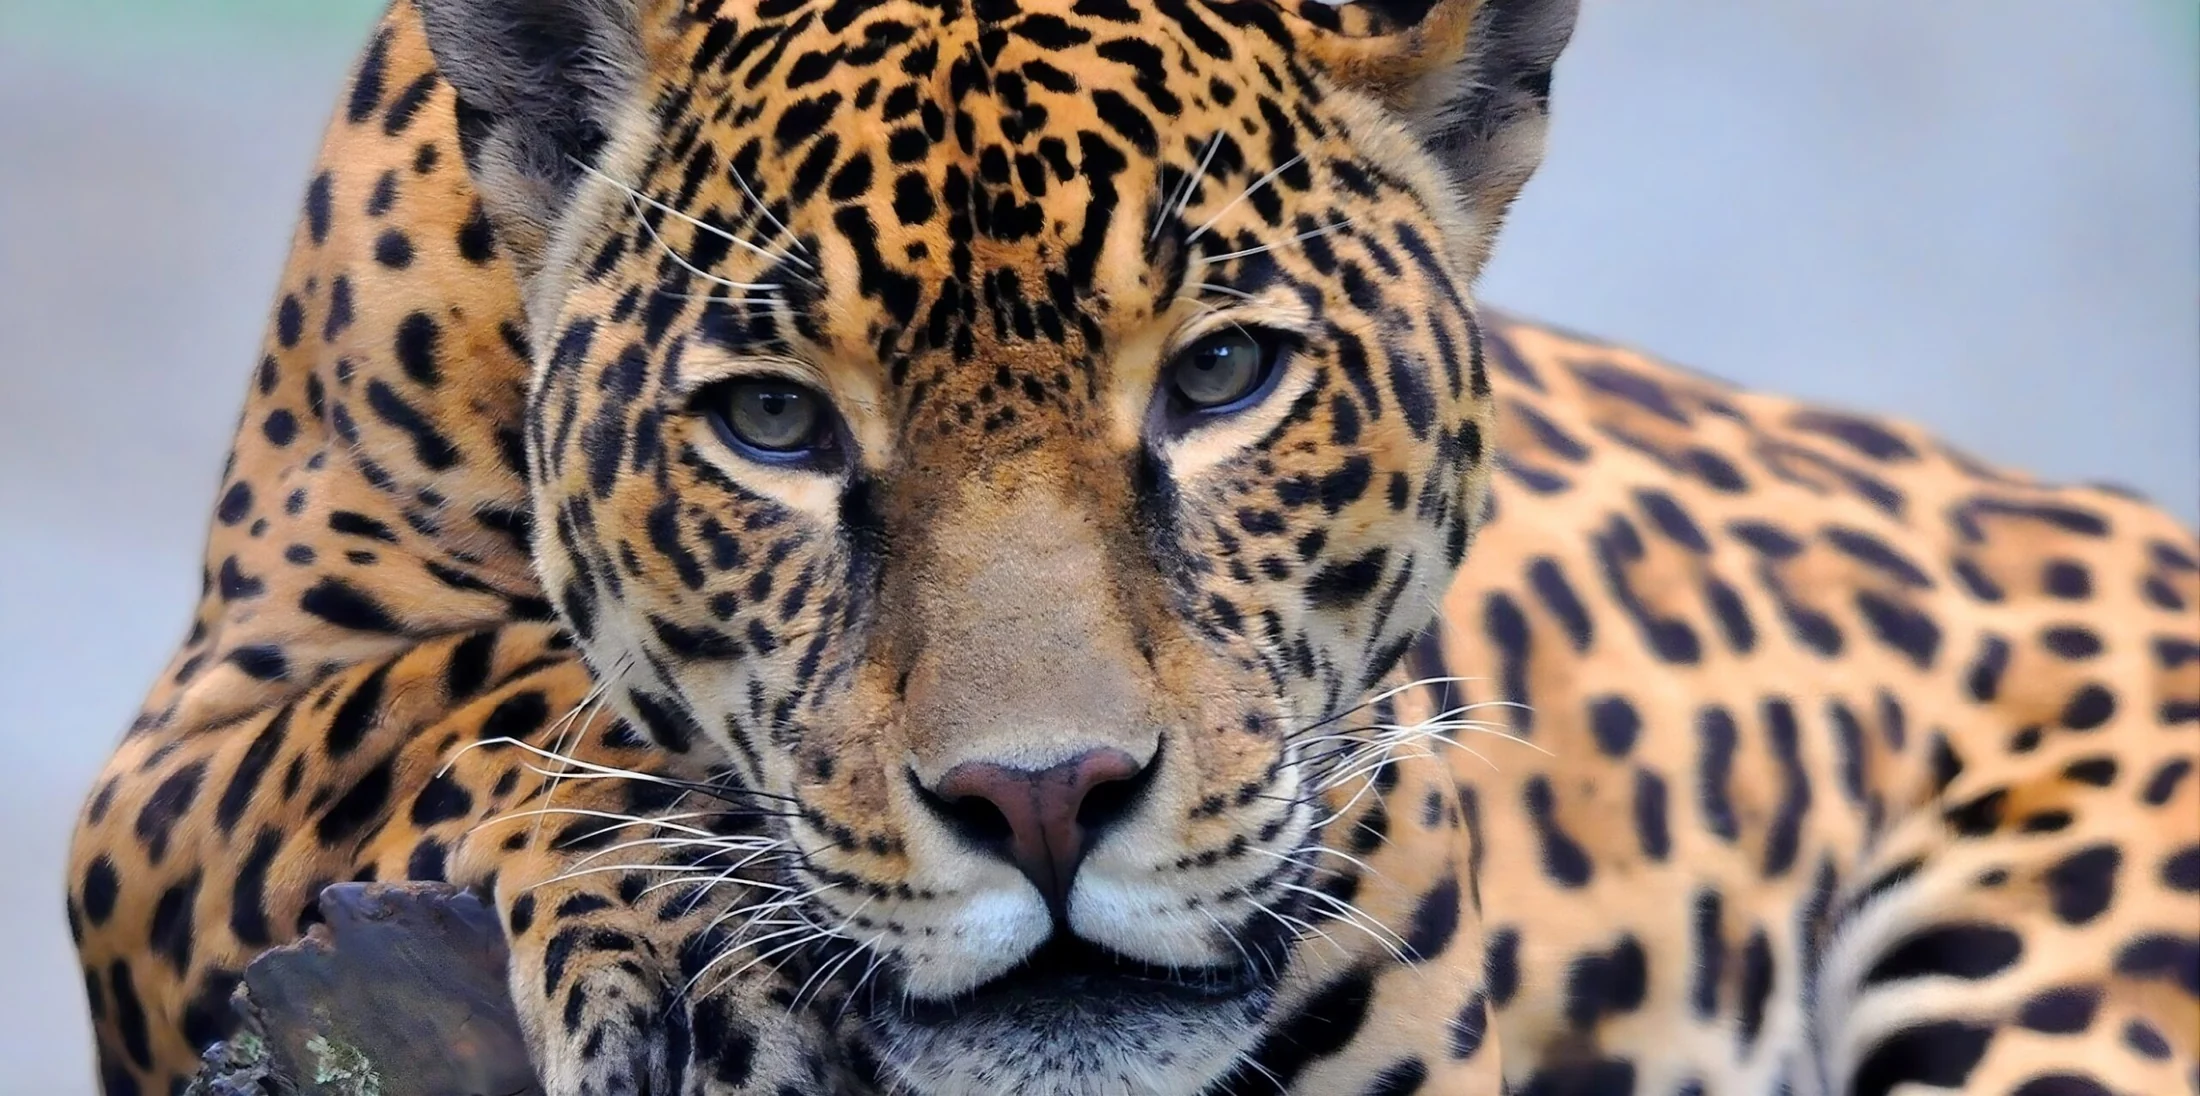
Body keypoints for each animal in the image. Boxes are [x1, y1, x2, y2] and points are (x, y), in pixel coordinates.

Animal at [65, 0, 2200, 1094]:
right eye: (774, 425)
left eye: (1225, 375)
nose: (1047, 800)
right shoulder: (172, 769)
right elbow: (475, 690)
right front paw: (701, 949)